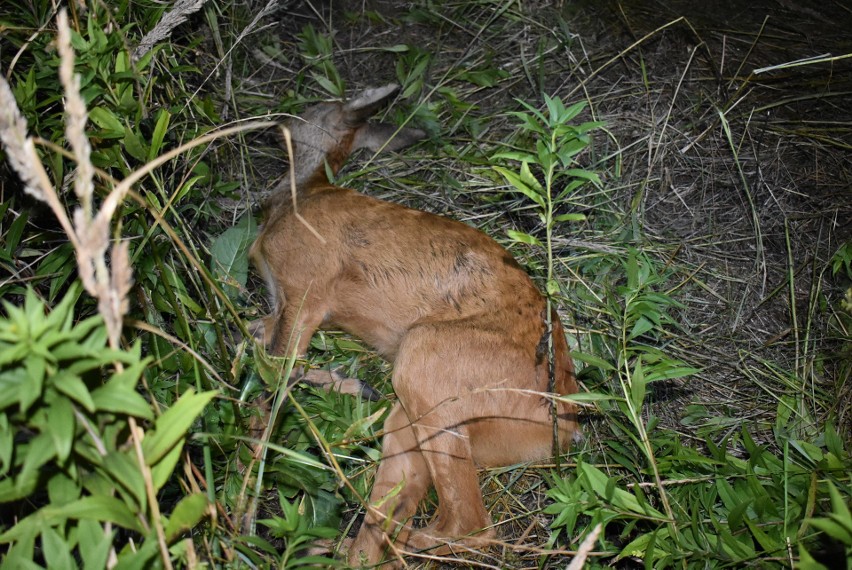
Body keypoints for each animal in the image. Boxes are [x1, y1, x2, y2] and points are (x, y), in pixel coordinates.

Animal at [246, 83, 580, 564]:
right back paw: (326, 545)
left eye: (312, 108)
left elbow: (276, 367)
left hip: (425, 362)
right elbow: (254, 337)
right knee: (392, 524)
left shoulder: (306, 288)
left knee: (469, 524)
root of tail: (564, 426)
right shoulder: (281, 304)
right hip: (412, 415)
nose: (272, 124)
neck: (299, 195)